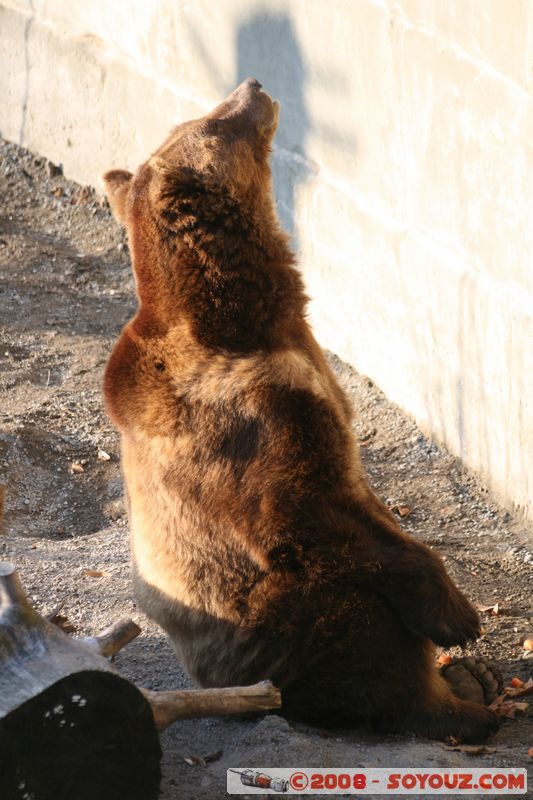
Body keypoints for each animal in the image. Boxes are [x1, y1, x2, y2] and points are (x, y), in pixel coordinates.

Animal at [103, 78, 498, 740]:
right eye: (213, 121)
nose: (254, 86)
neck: (247, 321)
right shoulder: (248, 413)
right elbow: (304, 508)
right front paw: (458, 616)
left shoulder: (312, 369)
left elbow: (361, 494)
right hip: (274, 631)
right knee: (354, 624)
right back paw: (456, 703)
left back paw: (472, 682)